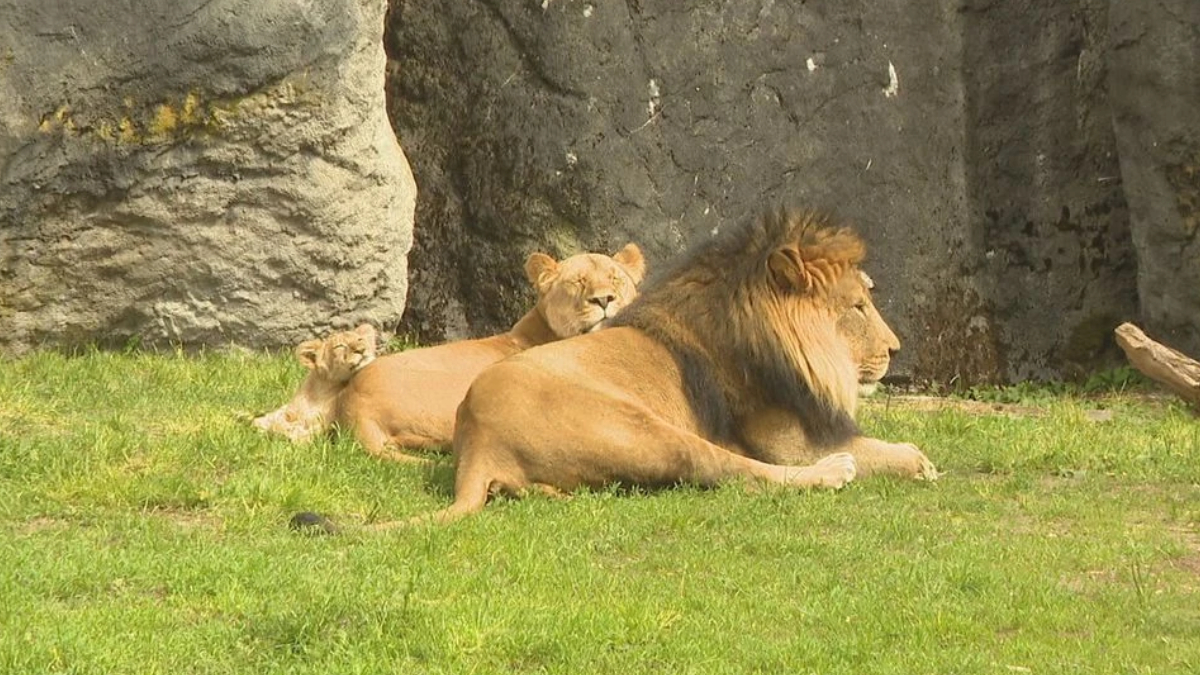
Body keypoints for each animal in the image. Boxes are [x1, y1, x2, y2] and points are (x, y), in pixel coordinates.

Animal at [330, 208, 936, 530]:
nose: (896, 349)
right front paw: (917, 460)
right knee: (736, 473)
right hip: (643, 429)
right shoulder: (786, 441)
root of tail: (476, 440)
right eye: (857, 306)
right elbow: (878, 453)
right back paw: (832, 474)